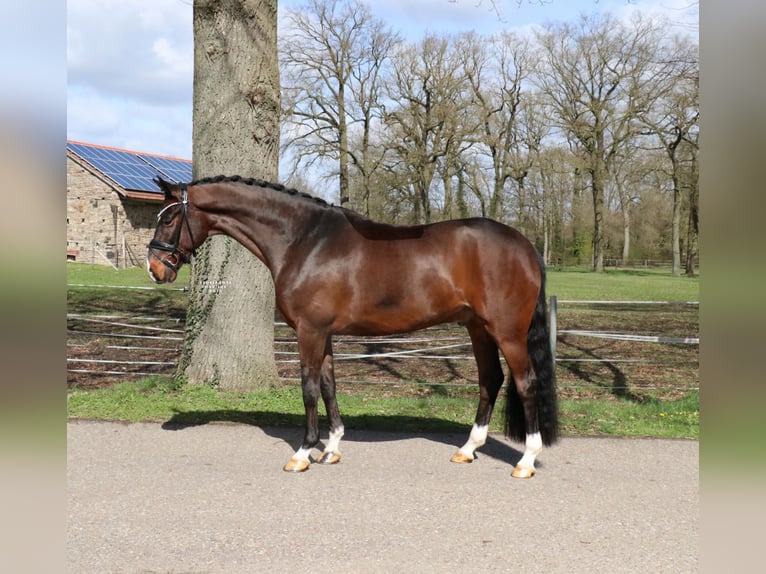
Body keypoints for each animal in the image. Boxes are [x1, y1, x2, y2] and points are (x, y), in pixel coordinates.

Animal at [147, 175, 558, 478]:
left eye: (168, 218)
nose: (155, 269)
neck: (304, 240)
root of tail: (525, 246)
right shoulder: (324, 333)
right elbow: (329, 386)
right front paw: (330, 449)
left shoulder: (309, 332)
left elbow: (309, 389)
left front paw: (302, 453)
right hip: (478, 329)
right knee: (491, 380)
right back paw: (468, 449)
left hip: (507, 332)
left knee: (525, 383)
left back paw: (525, 461)